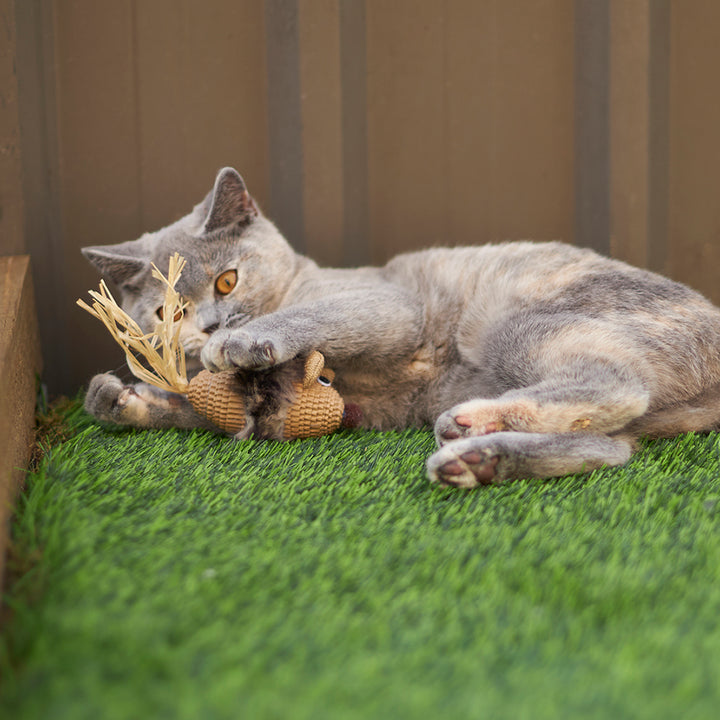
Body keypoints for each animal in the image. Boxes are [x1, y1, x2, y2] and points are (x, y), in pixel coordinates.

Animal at [83, 167, 720, 490]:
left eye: (227, 281)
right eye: (168, 314)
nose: (210, 324)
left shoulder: (388, 305)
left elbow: (311, 318)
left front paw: (232, 345)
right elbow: (214, 410)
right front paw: (123, 400)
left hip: (519, 321)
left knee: (615, 386)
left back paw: (472, 422)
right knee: (610, 446)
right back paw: (476, 458)